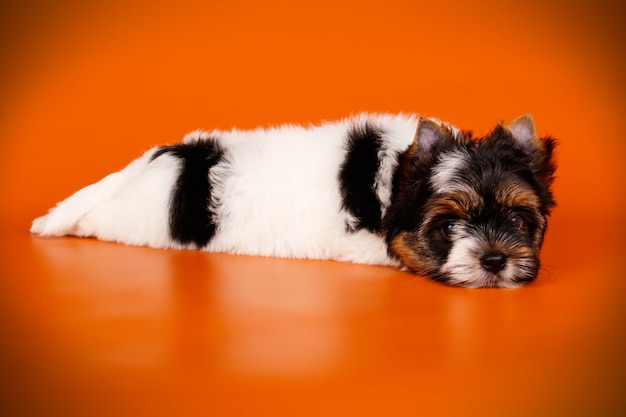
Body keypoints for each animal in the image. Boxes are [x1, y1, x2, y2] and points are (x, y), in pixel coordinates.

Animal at [31, 114, 552, 290]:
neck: (395, 179)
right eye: (448, 227)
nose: (494, 260)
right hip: (136, 218)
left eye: (517, 220)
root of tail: (155, 160)